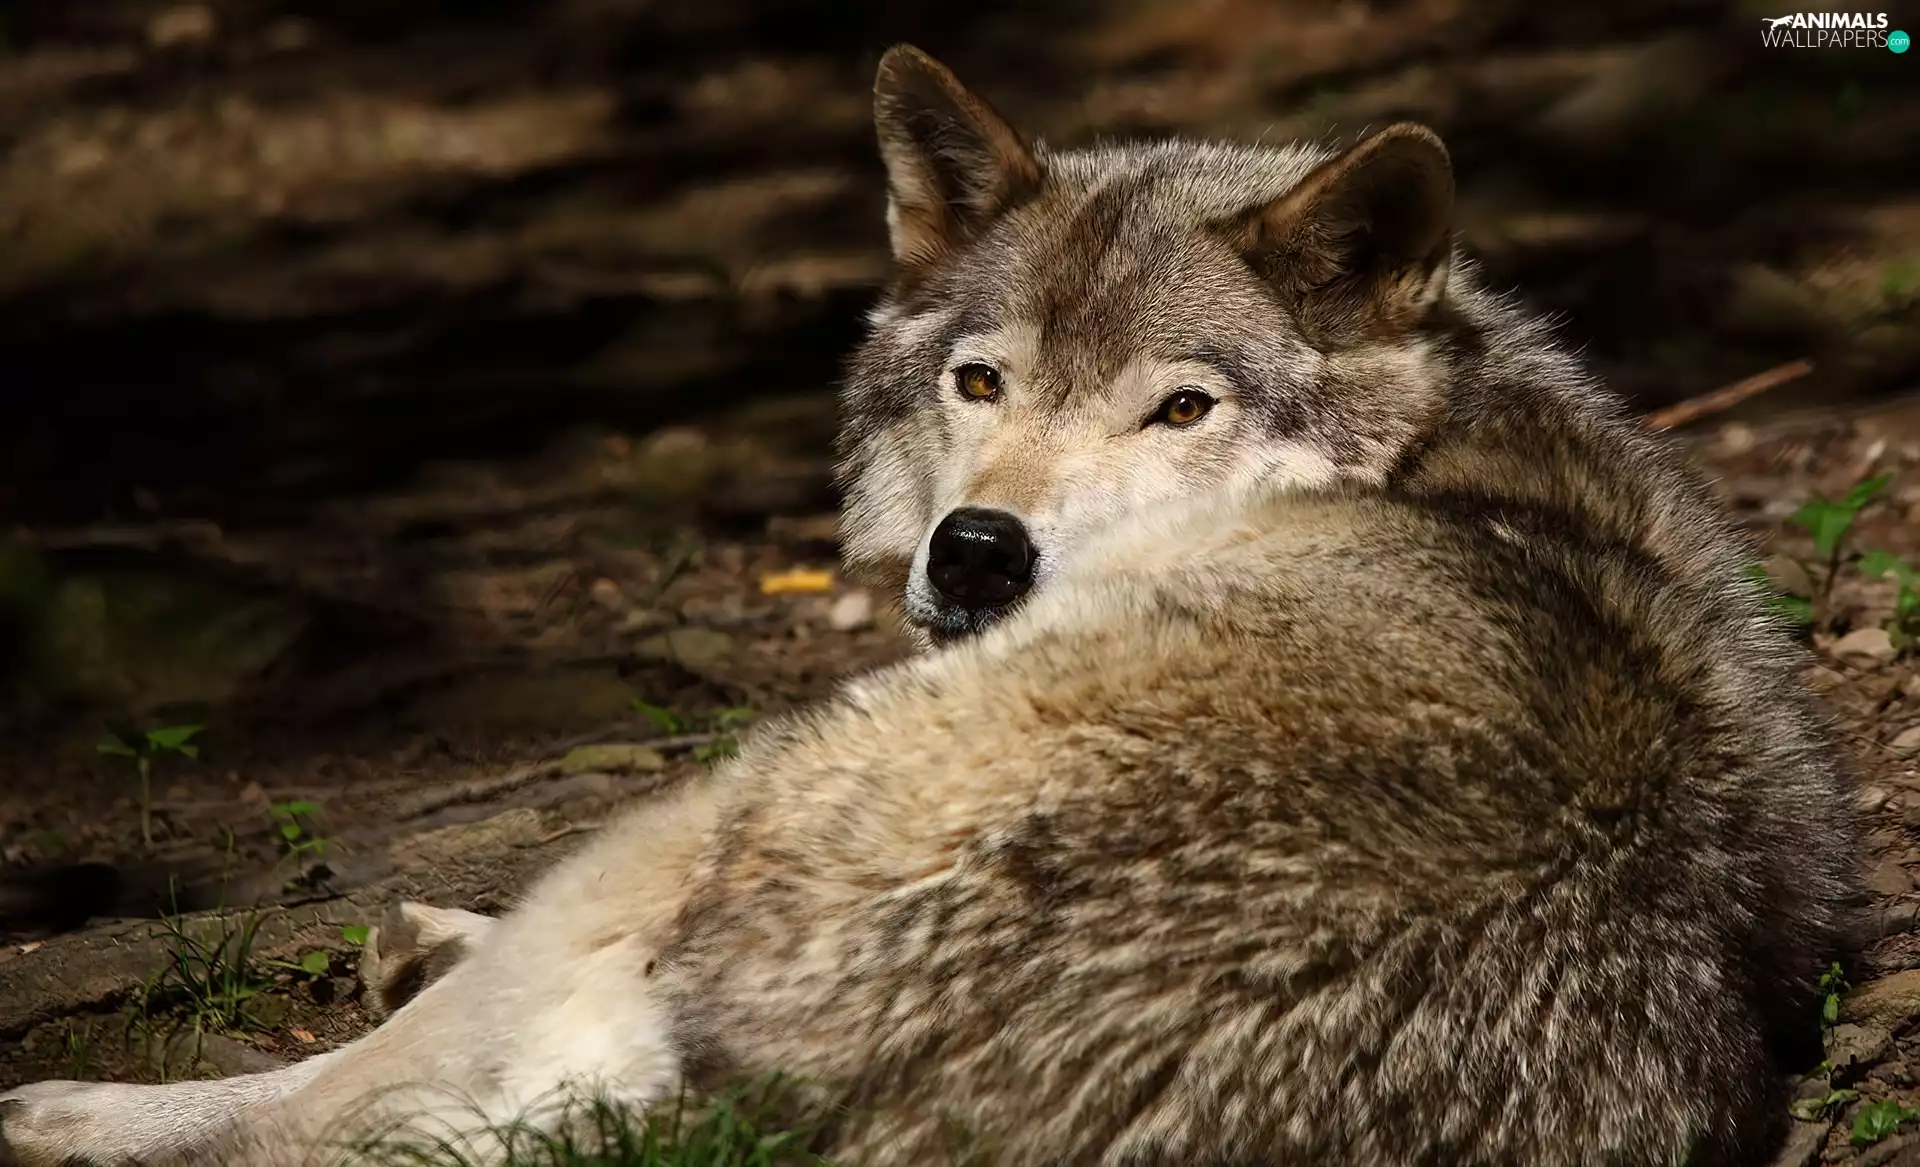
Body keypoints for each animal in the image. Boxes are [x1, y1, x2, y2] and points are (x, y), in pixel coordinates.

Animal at [0, 44, 1860, 1167]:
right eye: (981, 380)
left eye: (1180, 408)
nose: (976, 553)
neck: (1446, 450)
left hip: (716, 799)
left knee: (342, 1102)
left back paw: (75, 1104)